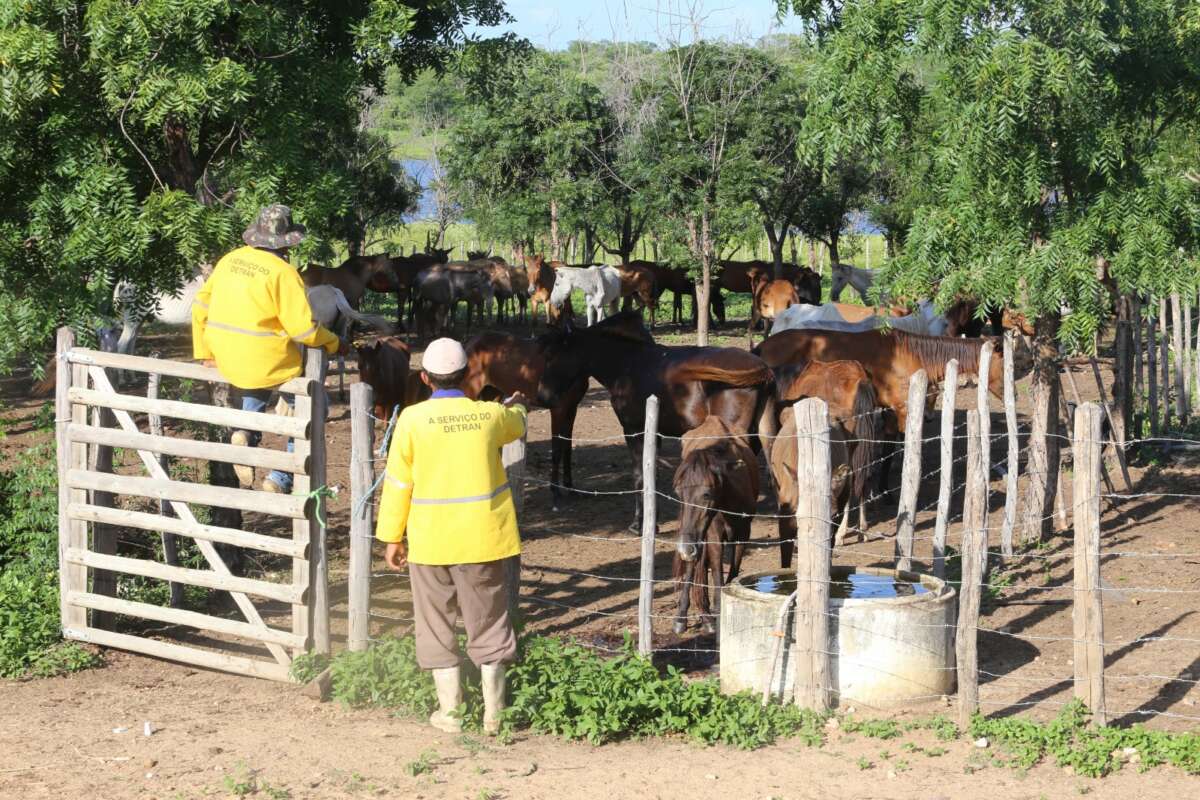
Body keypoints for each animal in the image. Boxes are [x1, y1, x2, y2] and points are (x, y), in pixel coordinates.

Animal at [537, 311, 777, 532]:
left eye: (552, 355)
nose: (543, 396)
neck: (627, 364)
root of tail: (763, 369)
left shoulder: (632, 430)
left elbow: (639, 474)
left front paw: (638, 523)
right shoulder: (655, 432)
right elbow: (652, 472)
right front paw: (652, 520)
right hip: (761, 433)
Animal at [672, 417, 753, 633]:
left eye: (706, 494)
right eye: (678, 493)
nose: (685, 547)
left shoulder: (744, 532)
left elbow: (733, 571)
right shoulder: (714, 535)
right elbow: (716, 571)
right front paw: (716, 612)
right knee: (693, 565)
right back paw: (684, 617)